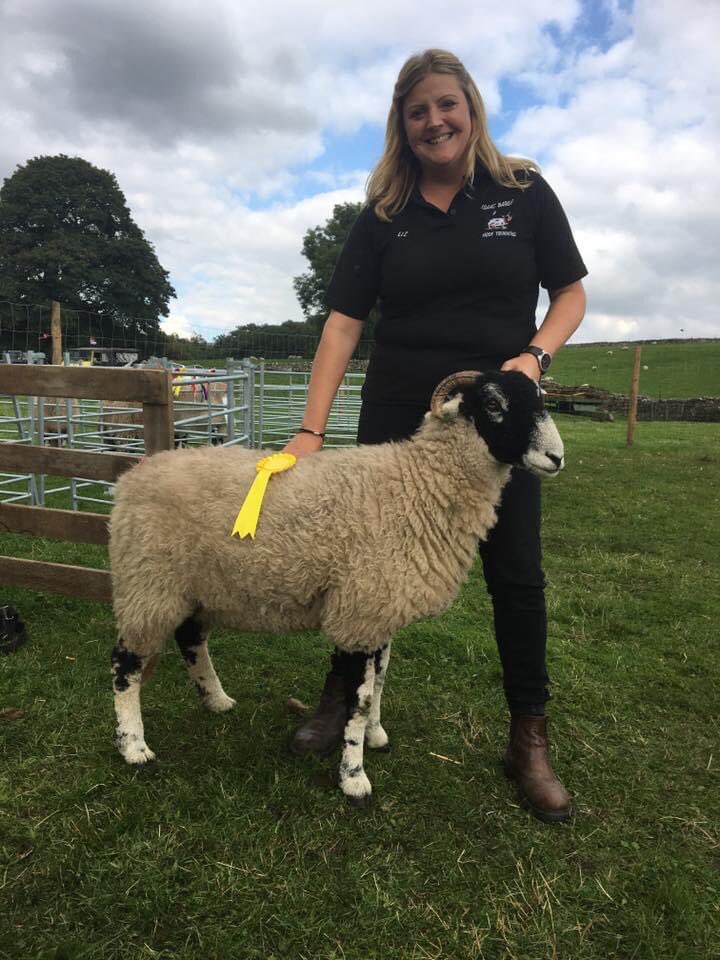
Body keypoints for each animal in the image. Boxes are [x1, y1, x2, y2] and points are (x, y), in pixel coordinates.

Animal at [109, 369, 564, 805]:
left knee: (190, 638)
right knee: (125, 663)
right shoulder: (361, 614)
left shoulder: (379, 610)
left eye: (541, 401)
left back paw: (216, 699)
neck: (417, 485)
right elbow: (358, 702)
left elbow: (379, 682)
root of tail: (131, 478)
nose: (556, 457)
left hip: (194, 585)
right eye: (493, 405)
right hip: (149, 582)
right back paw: (134, 747)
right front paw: (354, 777)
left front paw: (375, 736)